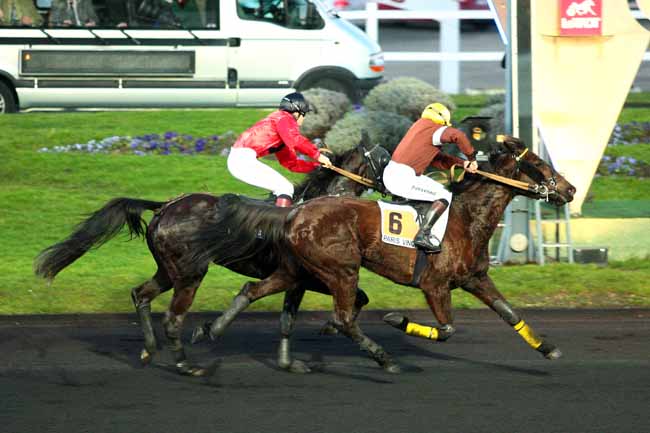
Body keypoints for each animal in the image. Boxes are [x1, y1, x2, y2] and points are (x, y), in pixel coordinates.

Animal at [34, 142, 380, 374]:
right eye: (381, 157)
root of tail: (165, 205)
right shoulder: (304, 275)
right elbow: (353, 298)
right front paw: (333, 327)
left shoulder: (299, 279)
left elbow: (290, 319)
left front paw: (293, 358)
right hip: (190, 272)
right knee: (173, 318)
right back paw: (185, 364)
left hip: (167, 270)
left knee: (141, 294)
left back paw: (149, 350)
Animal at [190, 138, 576, 372]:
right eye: (539, 164)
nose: (570, 189)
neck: (466, 219)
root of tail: (295, 213)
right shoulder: (435, 285)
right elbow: (447, 328)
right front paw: (397, 320)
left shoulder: (475, 277)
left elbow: (510, 314)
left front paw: (548, 348)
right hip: (341, 269)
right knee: (345, 317)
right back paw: (384, 357)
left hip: (296, 269)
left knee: (251, 291)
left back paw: (209, 330)